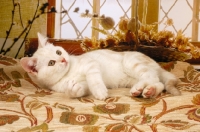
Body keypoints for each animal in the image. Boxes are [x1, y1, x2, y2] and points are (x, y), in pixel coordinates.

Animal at [20, 32, 181, 99]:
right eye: (51, 63)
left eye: (58, 52)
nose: (64, 60)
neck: (68, 73)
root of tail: (156, 64)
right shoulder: (70, 85)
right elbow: (79, 89)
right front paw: (73, 90)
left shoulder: (91, 63)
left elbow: (94, 77)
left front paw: (100, 91)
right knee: (158, 82)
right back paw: (149, 91)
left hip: (131, 62)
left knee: (150, 76)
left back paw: (140, 88)